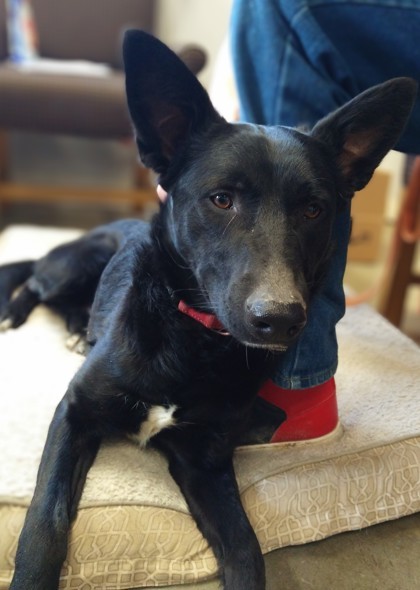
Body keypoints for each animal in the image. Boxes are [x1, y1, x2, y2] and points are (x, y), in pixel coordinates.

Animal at [1, 32, 416, 590]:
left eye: (314, 210)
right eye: (221, 200)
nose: (280, 320)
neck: (193, 339)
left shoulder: (205, 462)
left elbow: (246, 550)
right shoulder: (74, 412)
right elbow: (45, 523)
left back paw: (76, 328)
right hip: (77, 264)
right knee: (34, 278)